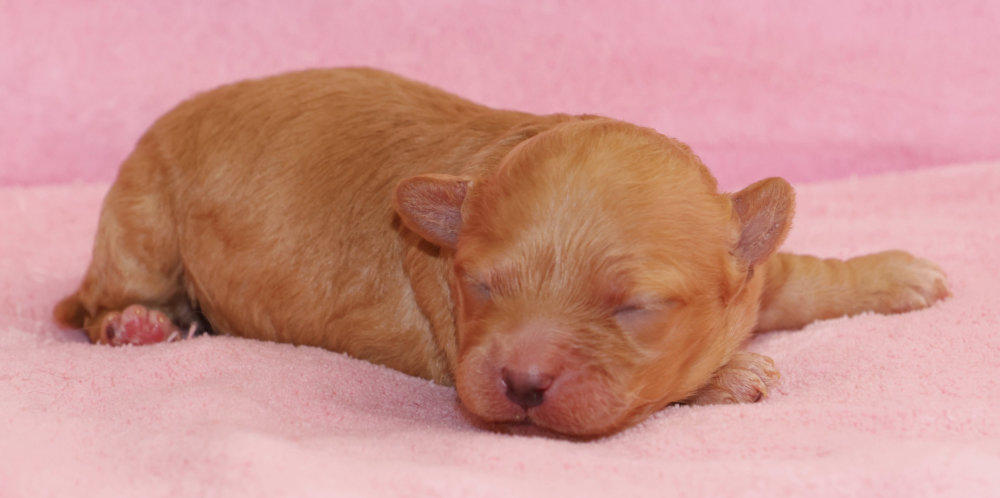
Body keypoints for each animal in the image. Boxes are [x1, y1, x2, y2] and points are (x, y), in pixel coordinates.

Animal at [54, 68, 949, 436]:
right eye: (479, 287)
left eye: (636, 308)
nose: (520, 383)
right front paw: (731, 375)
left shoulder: (750, 272)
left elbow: (798, 276)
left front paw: (899, 272)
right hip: (141, 220)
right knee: (95, 303)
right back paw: (138, 325)